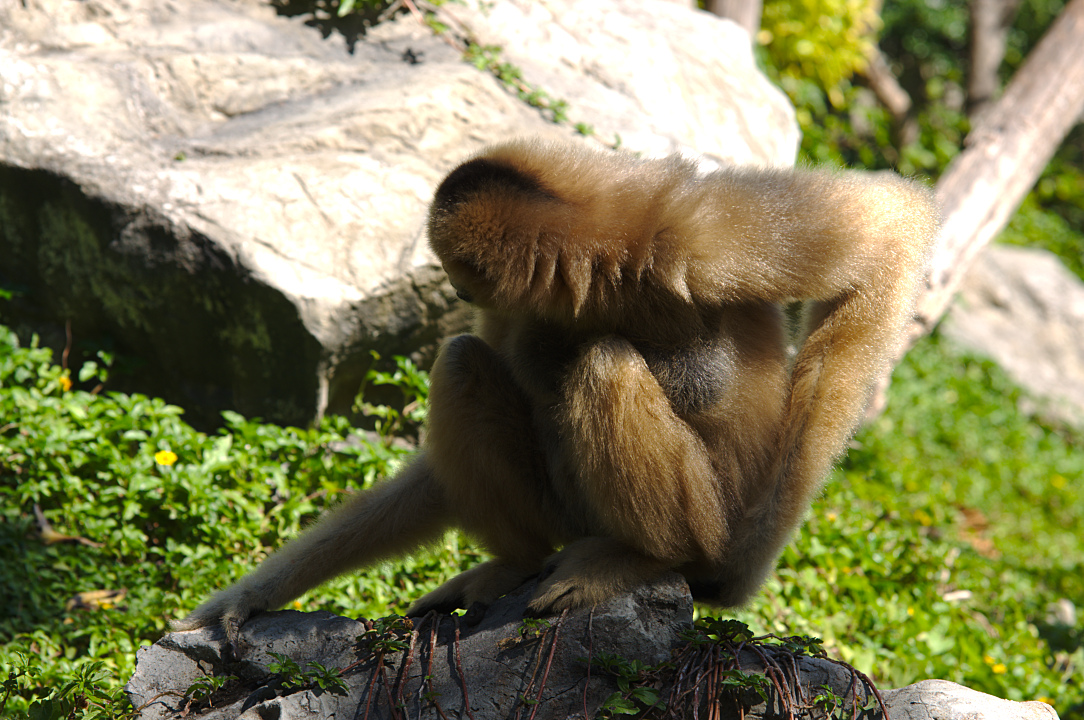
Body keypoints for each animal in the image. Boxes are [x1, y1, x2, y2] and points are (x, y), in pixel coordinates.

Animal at [174, 139, 938, 649]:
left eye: (455, 273)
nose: (455, 292)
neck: (601, 262)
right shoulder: (523, 304)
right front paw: (253, 593)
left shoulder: (698, 238)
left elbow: (886, 231)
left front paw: (735, 579)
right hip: (564, 512)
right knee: (464, 363)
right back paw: (516, 562)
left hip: (701, 514)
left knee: (602, 363)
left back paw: (647, 559)